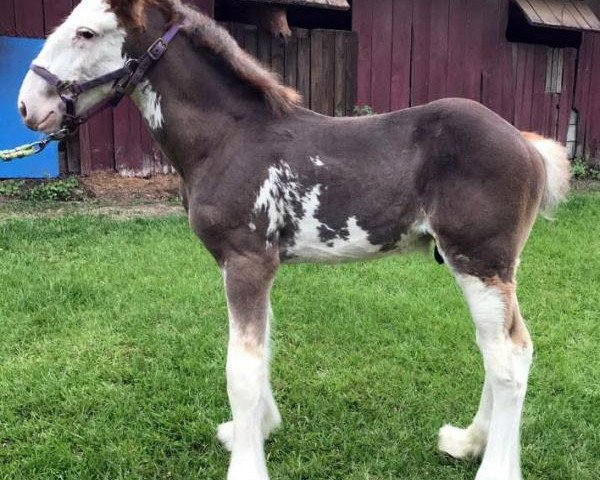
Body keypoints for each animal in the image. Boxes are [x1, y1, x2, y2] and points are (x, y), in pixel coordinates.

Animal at [18, 0, 568, 480]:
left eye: (86, 33)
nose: (27, 106)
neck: (228, 138)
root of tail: (526, 144)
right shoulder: (256, 264)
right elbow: (261, 352)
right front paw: (257, 430)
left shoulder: (246, 262)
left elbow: (241, 367)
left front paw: (246, 465)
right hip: (491, 267)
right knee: (505, 348)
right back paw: (468, 441)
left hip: (479, 263)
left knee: (507, 359)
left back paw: (491, 467)